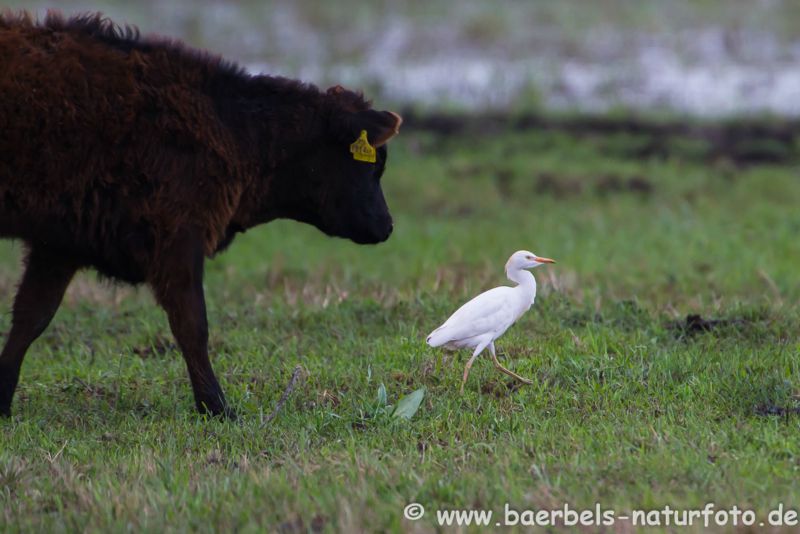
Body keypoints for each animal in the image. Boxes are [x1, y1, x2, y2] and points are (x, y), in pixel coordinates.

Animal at [0, 11, 402, 418]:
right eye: (371, 166)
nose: (387, 226)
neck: (234, 130)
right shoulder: (177, 234)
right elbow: (192, 324)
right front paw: (216, 406)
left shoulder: (60, 243)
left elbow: (30, 316)